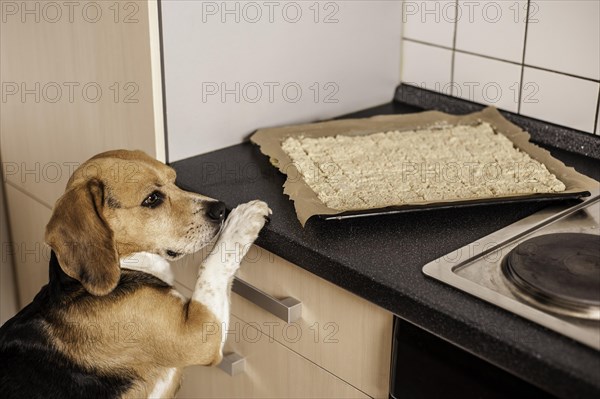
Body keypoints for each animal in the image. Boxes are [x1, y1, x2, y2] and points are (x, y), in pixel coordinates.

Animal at [0, 151, 270, 399]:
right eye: (152, 199)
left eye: (174, 180)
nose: (221, 209)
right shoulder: (199, 335)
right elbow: (210, 265)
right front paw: (243, 220)